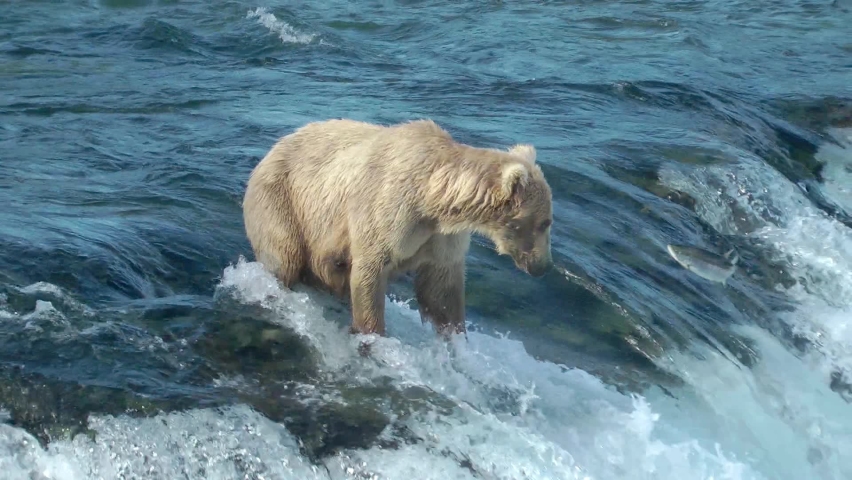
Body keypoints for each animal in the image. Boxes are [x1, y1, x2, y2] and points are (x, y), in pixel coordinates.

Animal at [242, 118, 553, 338]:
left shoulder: (440, 236)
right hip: (282, 202)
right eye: (544, 223)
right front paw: (372, 335)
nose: (542, 266)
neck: (433, 200)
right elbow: (369, 269)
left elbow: (440, 289)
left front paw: (456, 340)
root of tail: (271, 150)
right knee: (285, 257)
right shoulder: (389, 211)